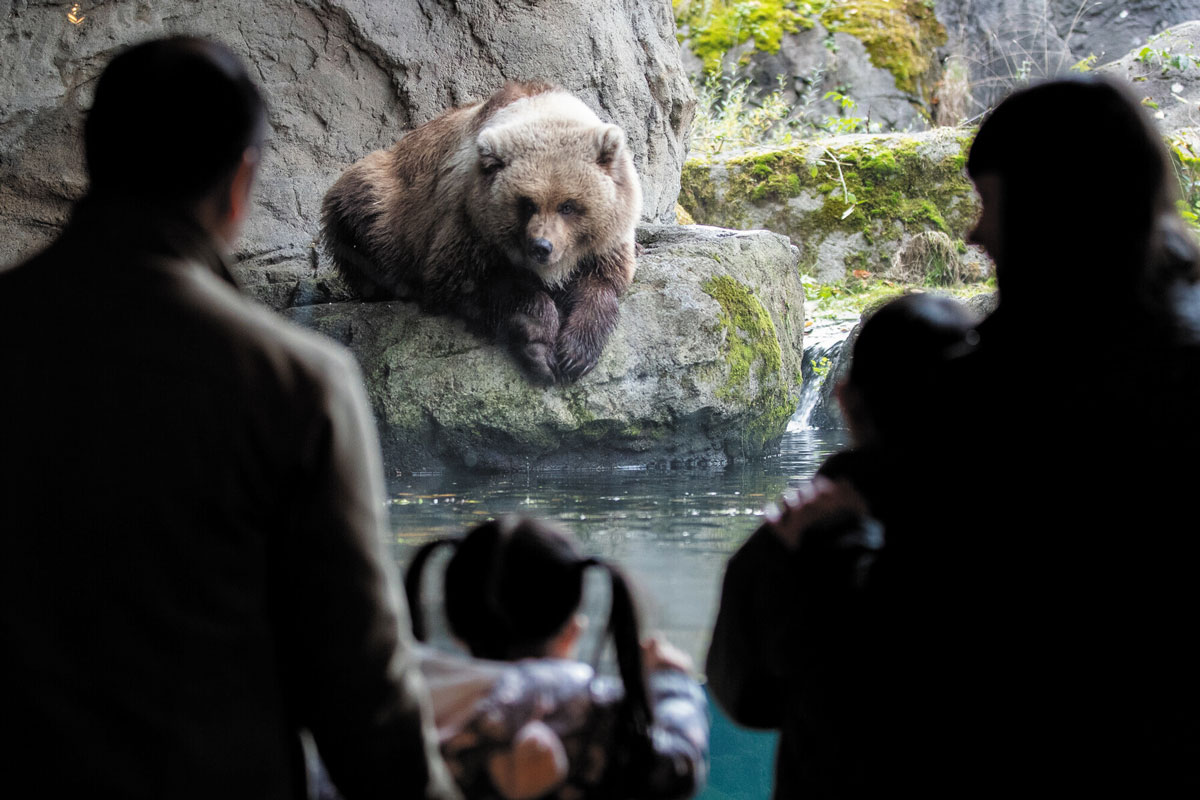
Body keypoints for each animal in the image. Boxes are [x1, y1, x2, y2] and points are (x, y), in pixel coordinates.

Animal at [321, 81, 642, 385]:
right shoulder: (469, 224)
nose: (542, 246)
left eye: (568, 205)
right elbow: (470, 282)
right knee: (360, 213)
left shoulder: (609, 239)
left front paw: (575, 353)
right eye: (526, 203)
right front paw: (540, 347)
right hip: (385, 203)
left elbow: (602, 282)